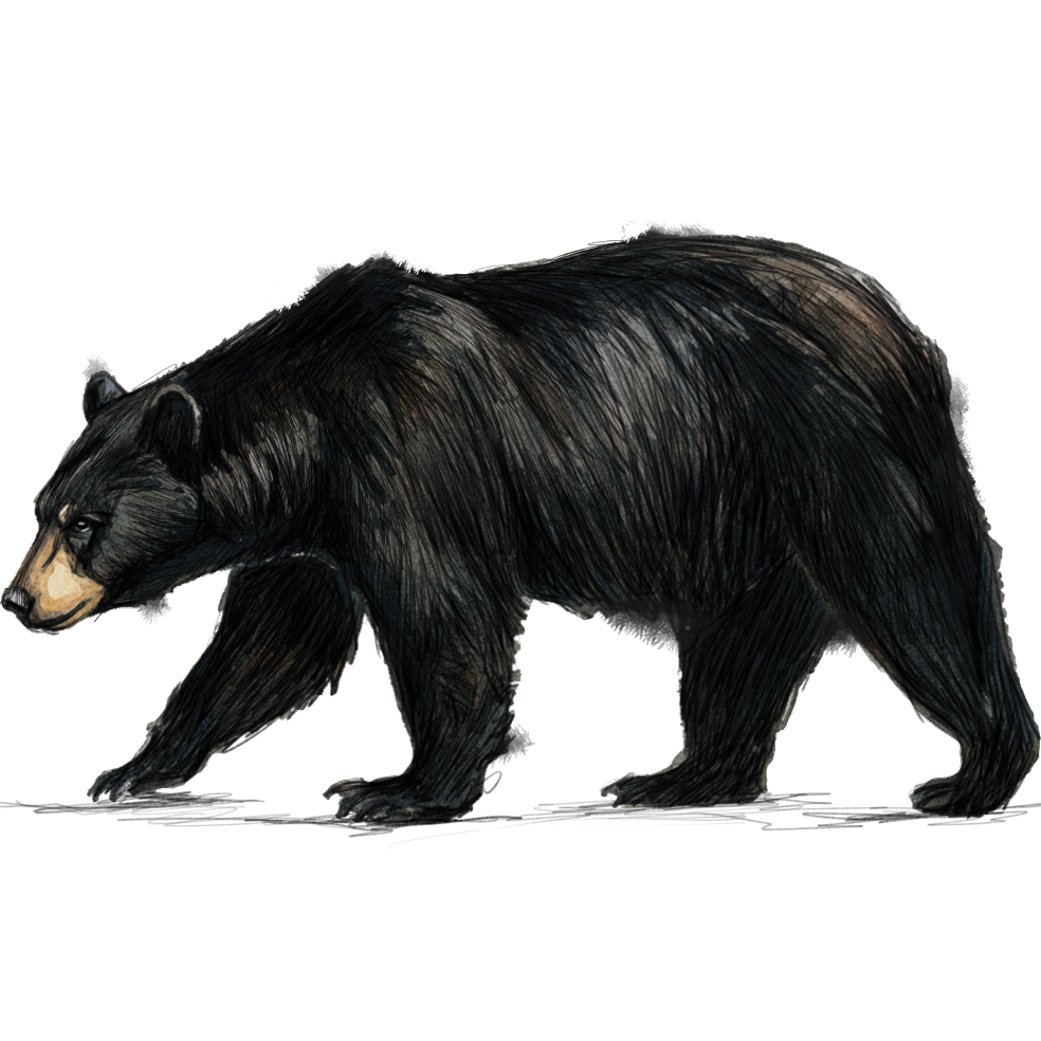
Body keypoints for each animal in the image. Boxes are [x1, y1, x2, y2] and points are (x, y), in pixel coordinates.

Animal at [3, 232, 1037, 820]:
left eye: (86, 523)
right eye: (45, 511)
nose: (17, 599)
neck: (309, 420)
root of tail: (908, 339)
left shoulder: (411, 451)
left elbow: (445, 612)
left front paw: (394, 789)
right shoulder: (317, 528)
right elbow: (266, 641)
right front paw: (133, 767)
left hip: (837, 454)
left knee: (918, 593)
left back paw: (972, 778)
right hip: (758, 513)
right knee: (743, 639)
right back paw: (673, 779)